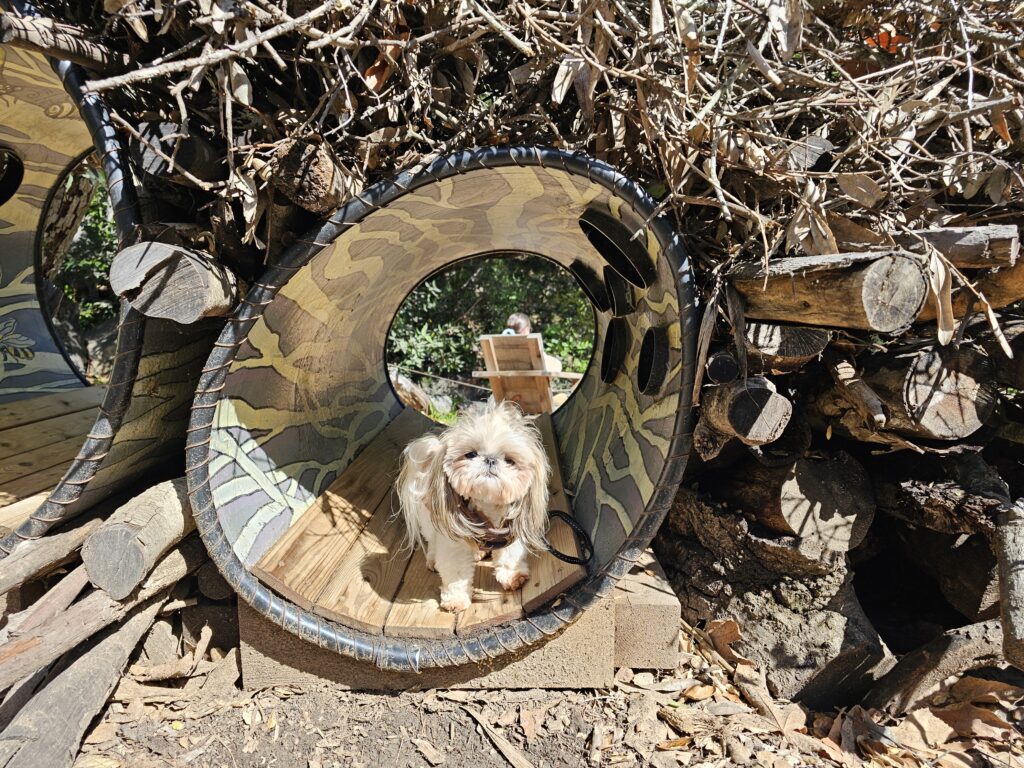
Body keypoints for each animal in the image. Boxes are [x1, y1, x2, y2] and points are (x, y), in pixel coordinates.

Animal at [395, 403, 548, 614]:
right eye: (471, 454)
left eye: (510, 460)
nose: (490, 459)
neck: (487, 507)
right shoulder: (453, 543)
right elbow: (456, 573)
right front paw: (456, 600)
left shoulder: (510, 533)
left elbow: (509, 556)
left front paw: (513, 577)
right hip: (428, 521)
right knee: (432, 542)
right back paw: (434, 559)